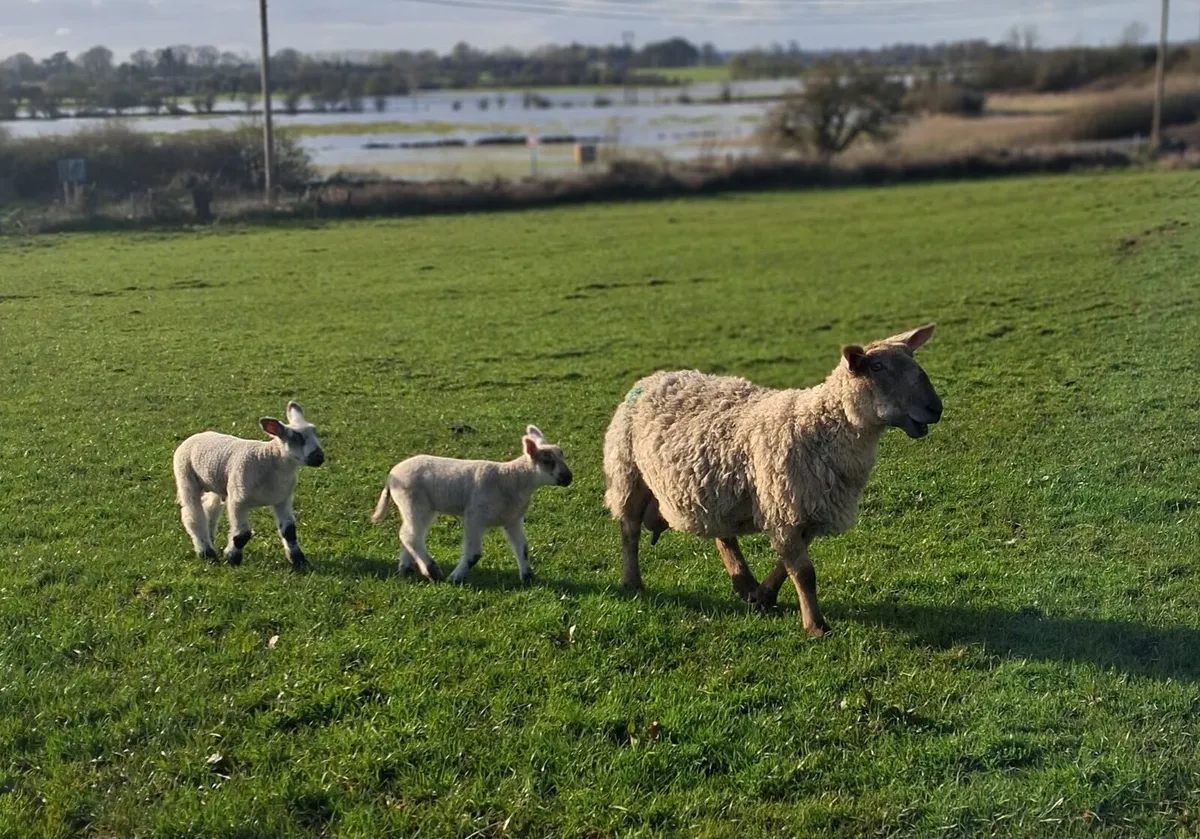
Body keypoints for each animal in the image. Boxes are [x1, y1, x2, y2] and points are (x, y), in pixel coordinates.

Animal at [172, 401, 325, 572]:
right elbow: (242, 535)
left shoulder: (283, 499)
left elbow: (289, 531)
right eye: (296, 437)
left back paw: (210, 539)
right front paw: (232, 558)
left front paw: (298, 561)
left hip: (216, 482)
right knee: (193, 516)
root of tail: (197, 435)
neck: (269, 458)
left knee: (210, 509)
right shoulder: (238, 500)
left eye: (315, 432)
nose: (319, 457)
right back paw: (207, 553)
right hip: (185, 476)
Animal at [370, 425, 573, 585]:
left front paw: (528, 578)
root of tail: (391, 475)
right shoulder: (475, 515)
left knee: (408, 533)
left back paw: (406, 569)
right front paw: (455, 578)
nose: (568, 478)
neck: (511, 478)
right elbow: (474, 554)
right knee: (410, 535)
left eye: (562, 455)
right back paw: (432, 571)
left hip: (421, 506)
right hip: (413, 501)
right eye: (547, 461)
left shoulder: (513, 519)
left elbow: (522, 548)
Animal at [603, 324, 942, 637]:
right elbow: (804, 573)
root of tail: (655, 377)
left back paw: (743, 583)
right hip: (628, 473)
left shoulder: (804, 509)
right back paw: (633, 582)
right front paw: (816, 627)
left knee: (723, 535)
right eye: (877, 367)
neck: (818, 425)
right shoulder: (785, 506)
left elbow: (786, 565)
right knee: (629, 530)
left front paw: (763, 596)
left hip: (714, 486)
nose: (935, 408)